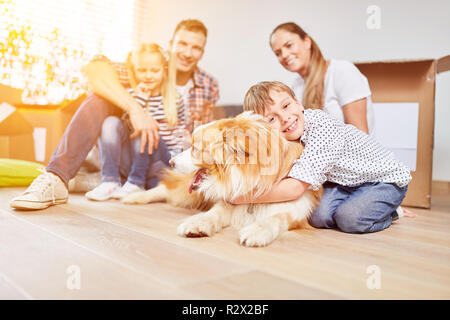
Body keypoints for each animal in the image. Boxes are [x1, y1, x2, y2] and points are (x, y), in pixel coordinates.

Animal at [123, 112, 320, 248]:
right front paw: (197, 223)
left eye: (195, 148)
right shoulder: (228, 198)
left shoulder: (295, 209)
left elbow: (276, 218)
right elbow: (213, 213)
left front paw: (257, 230)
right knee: (166, 188)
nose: (171, 162)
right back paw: (132, 197)